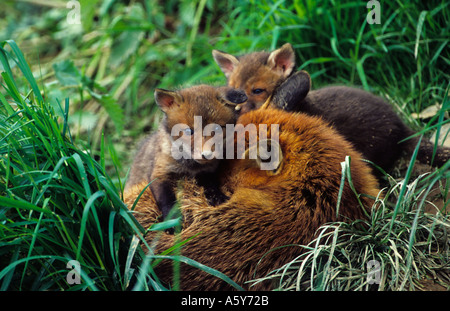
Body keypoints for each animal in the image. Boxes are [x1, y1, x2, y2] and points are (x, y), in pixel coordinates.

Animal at [125, 86, 248, 222]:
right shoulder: (159, 173)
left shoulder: (208, 172)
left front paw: (217, 197)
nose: (207, 154)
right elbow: (166, 200)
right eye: (189, 131)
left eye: (216, 129)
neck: (190, 167)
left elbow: (211, 186)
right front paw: (172, 220)